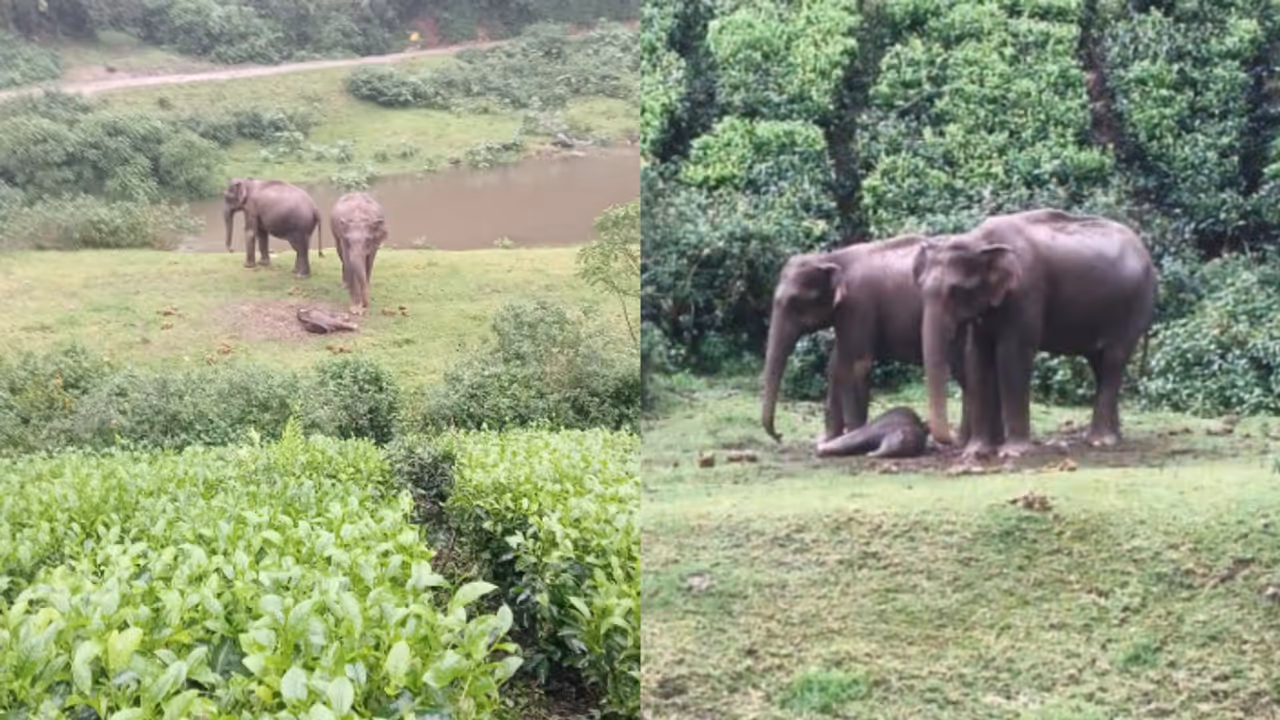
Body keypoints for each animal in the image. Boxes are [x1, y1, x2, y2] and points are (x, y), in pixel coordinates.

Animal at [761, 234, 973, 447]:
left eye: (794, 302)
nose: (780, 436)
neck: (831, 258)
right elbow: (835, 364)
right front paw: (827, 439)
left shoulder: (858, 305)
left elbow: (857, 366)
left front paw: (850, 435)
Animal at [911, 208, 1157, 460]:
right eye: (920, 286)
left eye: (957, 291)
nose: (947, 440)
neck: (979, 241)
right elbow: (977, 356)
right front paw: (976, 452)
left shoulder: (1026, 292)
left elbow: (1012, 354)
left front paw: (1011, 452)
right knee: (1099, 363)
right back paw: (1113, 437)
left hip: (1134, 308)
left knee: (1113, 360)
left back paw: (1100, 441)